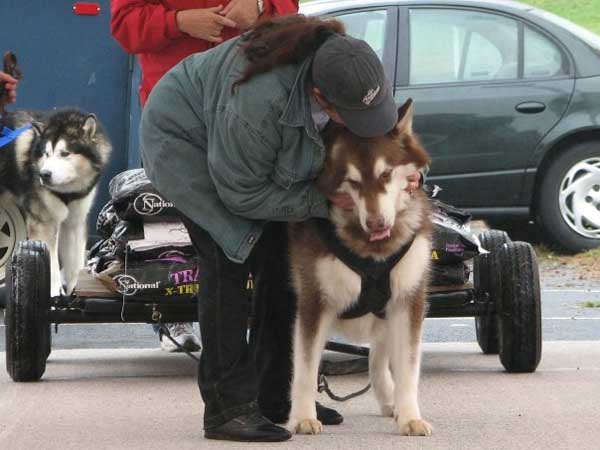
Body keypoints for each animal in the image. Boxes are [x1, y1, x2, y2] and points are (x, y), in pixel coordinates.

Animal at [0, 110, 112, 296]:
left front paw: (73, 292)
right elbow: (51, 265)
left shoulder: (75, 222)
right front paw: (53, 294)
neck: (68, 191)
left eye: (65, 153)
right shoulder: (43, 224)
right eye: (46, 154)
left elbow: (74, 264)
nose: (44, 174)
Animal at [286, 99, 432, 436]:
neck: (373, 252)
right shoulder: (315, 300)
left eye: (387, 174)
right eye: (351, 182)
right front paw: (302, 417)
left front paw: (409, 416)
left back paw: (390, 399)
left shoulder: (408, 300)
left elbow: (408, 368)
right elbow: (306, 367)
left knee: (377, 356)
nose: (376, 223)